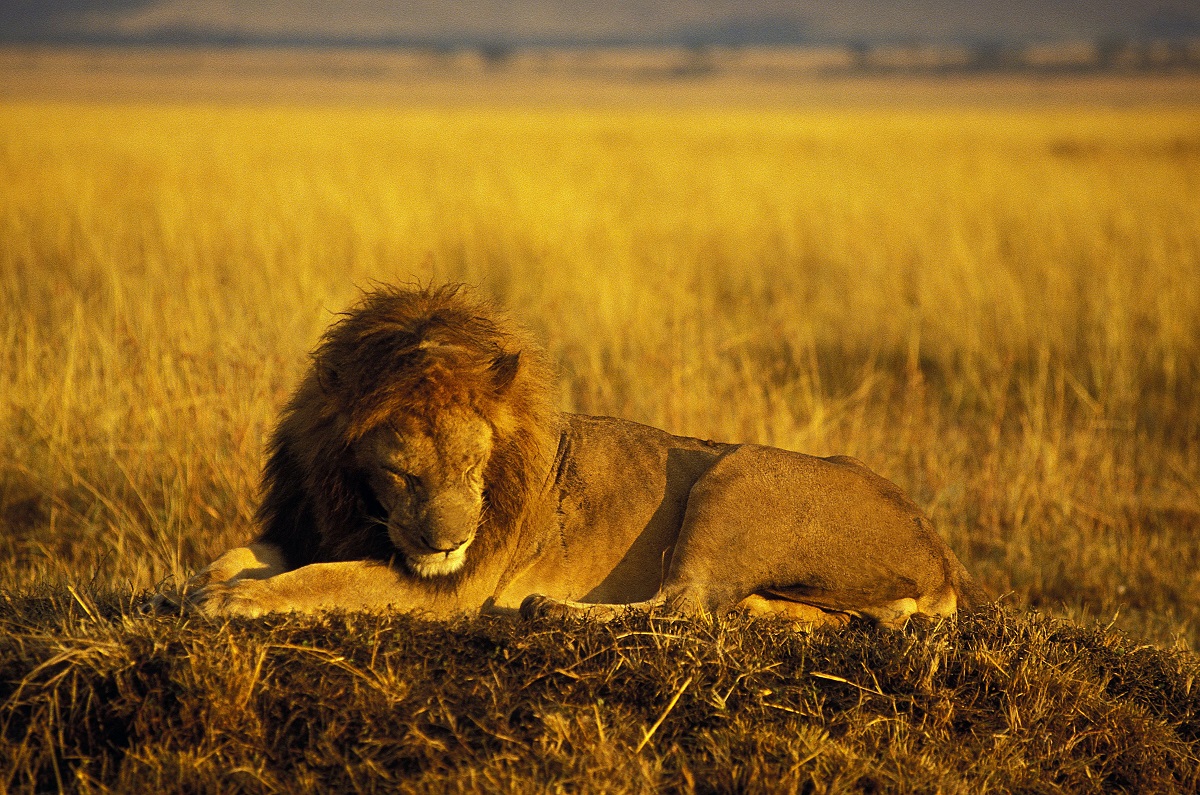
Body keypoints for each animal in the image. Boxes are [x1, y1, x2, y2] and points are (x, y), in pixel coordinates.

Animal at [152, 284, 984, 628]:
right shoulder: (310, 522)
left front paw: (232, 602)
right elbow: (240, 553)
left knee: (680, 606)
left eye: (472, 465)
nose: (447, 541)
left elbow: (323, 579)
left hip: (736, 470)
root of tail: (941, 551)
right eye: (398, 471)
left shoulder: (453, 585)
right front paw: (185, 586)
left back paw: (549, 607)